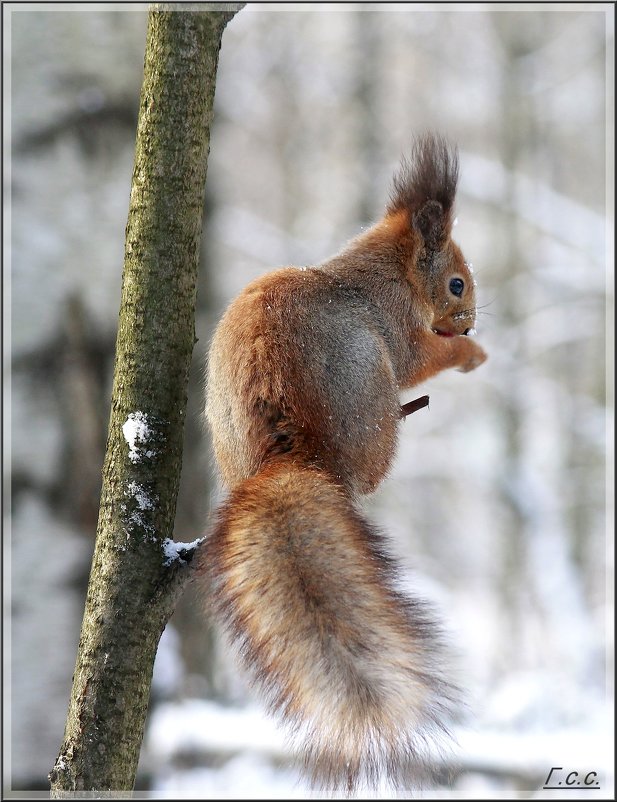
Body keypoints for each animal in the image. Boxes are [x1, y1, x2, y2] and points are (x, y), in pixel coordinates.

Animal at [197, 134, 486, 792]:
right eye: (457, 284)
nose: (472, 318)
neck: (385, 272)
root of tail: (291, 454)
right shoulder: (399, 331)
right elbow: (425, 358)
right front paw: (469, 352)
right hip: (373, 402)